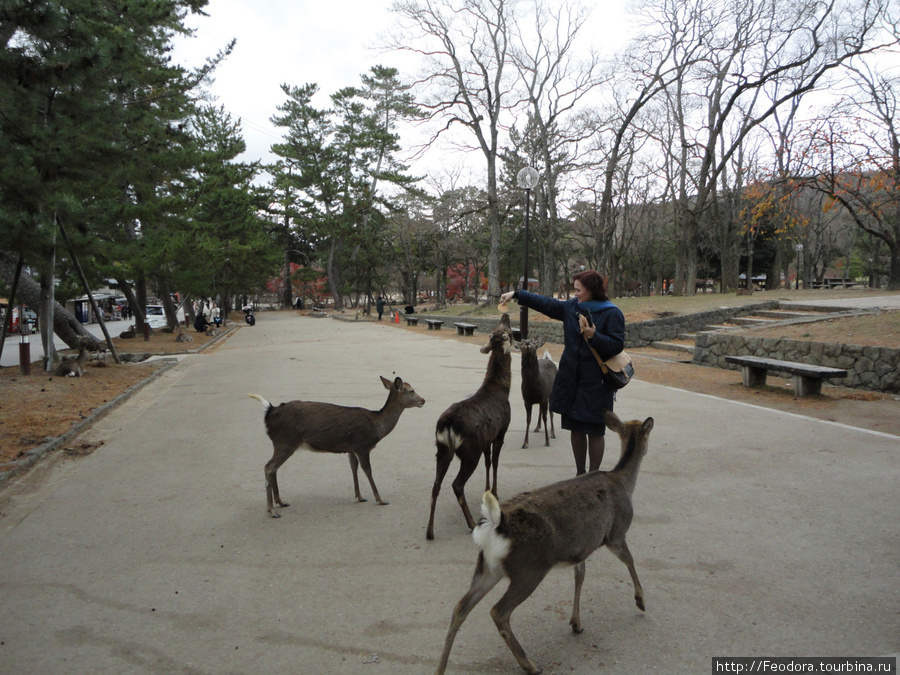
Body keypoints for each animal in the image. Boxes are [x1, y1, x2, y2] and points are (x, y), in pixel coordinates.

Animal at [248, 374, 428, 516]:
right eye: (412, 391)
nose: (423, 400)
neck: (377, 426)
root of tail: (270, 412)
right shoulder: (362, 445)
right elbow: (368, 470)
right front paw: (381, 499)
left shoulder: (351, 448)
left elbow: (353, 467)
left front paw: (359, 496)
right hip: (285, 441)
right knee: (269, 467)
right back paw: (272, 510)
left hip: (282, 443)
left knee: (273, 468)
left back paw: (280, 501)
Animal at [424, 314, 510, 540]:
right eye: (506, 330)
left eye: (499, 327)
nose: (505, 315)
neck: (502, 390)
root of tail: (447, 425)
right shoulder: (501, 432)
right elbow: (495, 462)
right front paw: (495, 493)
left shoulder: (487, 440)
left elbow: (489, 463)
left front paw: (487, 492)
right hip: (470, 452)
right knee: (456, 484)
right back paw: (472, 523)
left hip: (442, 449)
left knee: (435, 485)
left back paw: (430, 531)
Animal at [432, 410, 652, 672]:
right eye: (648, 433)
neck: (624, 483)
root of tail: (496, 523)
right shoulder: (616, 533)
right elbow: (630, 560)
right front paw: (641, 601)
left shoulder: (581, 548)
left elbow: (580, 576)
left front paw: (576, 623)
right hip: (530, 568)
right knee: (498, 611)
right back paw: (529, 664)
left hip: (487, 566)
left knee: (460, 607)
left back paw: (440, 667)